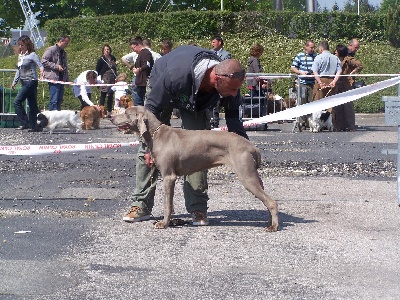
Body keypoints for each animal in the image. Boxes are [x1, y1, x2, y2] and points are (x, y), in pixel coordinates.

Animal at [110, 106, 278, 232]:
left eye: (126, 113)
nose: (111, 117)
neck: (155, 134)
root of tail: (251, 146)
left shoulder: (168, 176)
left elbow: (166, 204)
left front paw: (164, 223)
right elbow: (170, 203)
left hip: (246, 175)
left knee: (271, 201)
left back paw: (274, 226)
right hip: (253, 176)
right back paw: (269, 222)